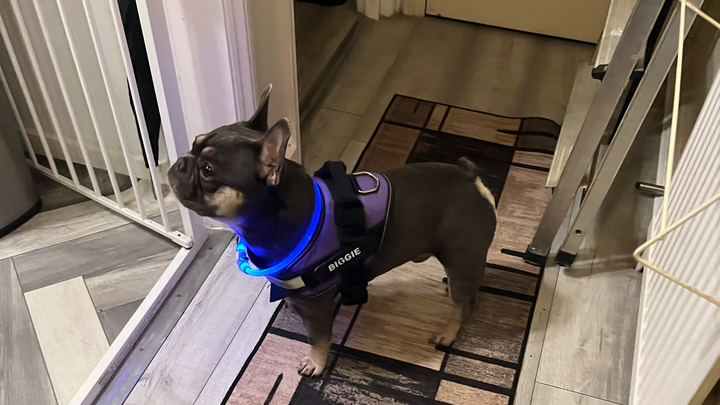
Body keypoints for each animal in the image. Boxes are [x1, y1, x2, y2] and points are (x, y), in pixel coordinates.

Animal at [168, 85, 497, 377]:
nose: (181, 160)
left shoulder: (316, 306)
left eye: (208, 170)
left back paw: (447, 333)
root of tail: (471, 179)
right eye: (194, 142)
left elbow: (319, 338)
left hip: (461, 258)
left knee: (464, 304)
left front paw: (315, 363)